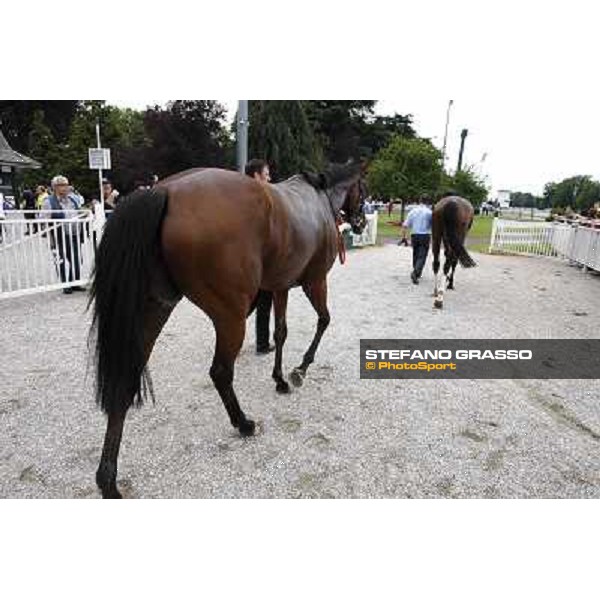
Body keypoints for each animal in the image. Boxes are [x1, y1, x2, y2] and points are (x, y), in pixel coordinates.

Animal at [89, 162, 366, 500]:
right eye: (363, 189)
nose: (360, 221)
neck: (318, 196)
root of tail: (165, 190)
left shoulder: (279, 286)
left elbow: (280, 332)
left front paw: (279, 379)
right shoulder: (314, 282)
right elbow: (324, 321)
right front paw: (299, 370)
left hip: (153, 310)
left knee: (124, 382)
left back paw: (108, 479)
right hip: (230, 316)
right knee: (220, 371)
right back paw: (243, 423)